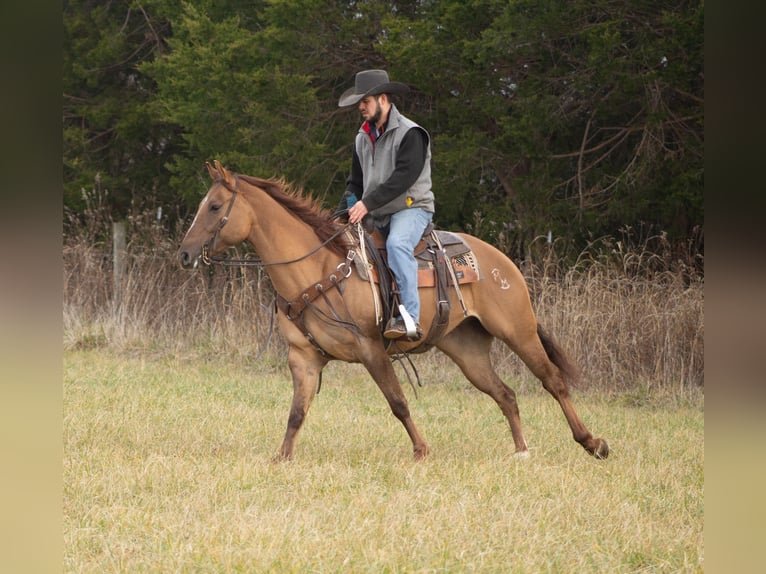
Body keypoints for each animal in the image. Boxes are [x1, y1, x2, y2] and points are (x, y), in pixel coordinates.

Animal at [180, 162, 612, 464]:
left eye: (214, 206)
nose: (185, 254)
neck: (319, 269)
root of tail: (501, 262)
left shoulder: (371, 350)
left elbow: (398, 402)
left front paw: (421, 451)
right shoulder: (303, 359)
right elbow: (296, 413)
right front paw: (282, 458)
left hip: (519, 332)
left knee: (553, 382)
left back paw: (593, 443)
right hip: (466, 349)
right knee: (504, 394)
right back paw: (522, 450)